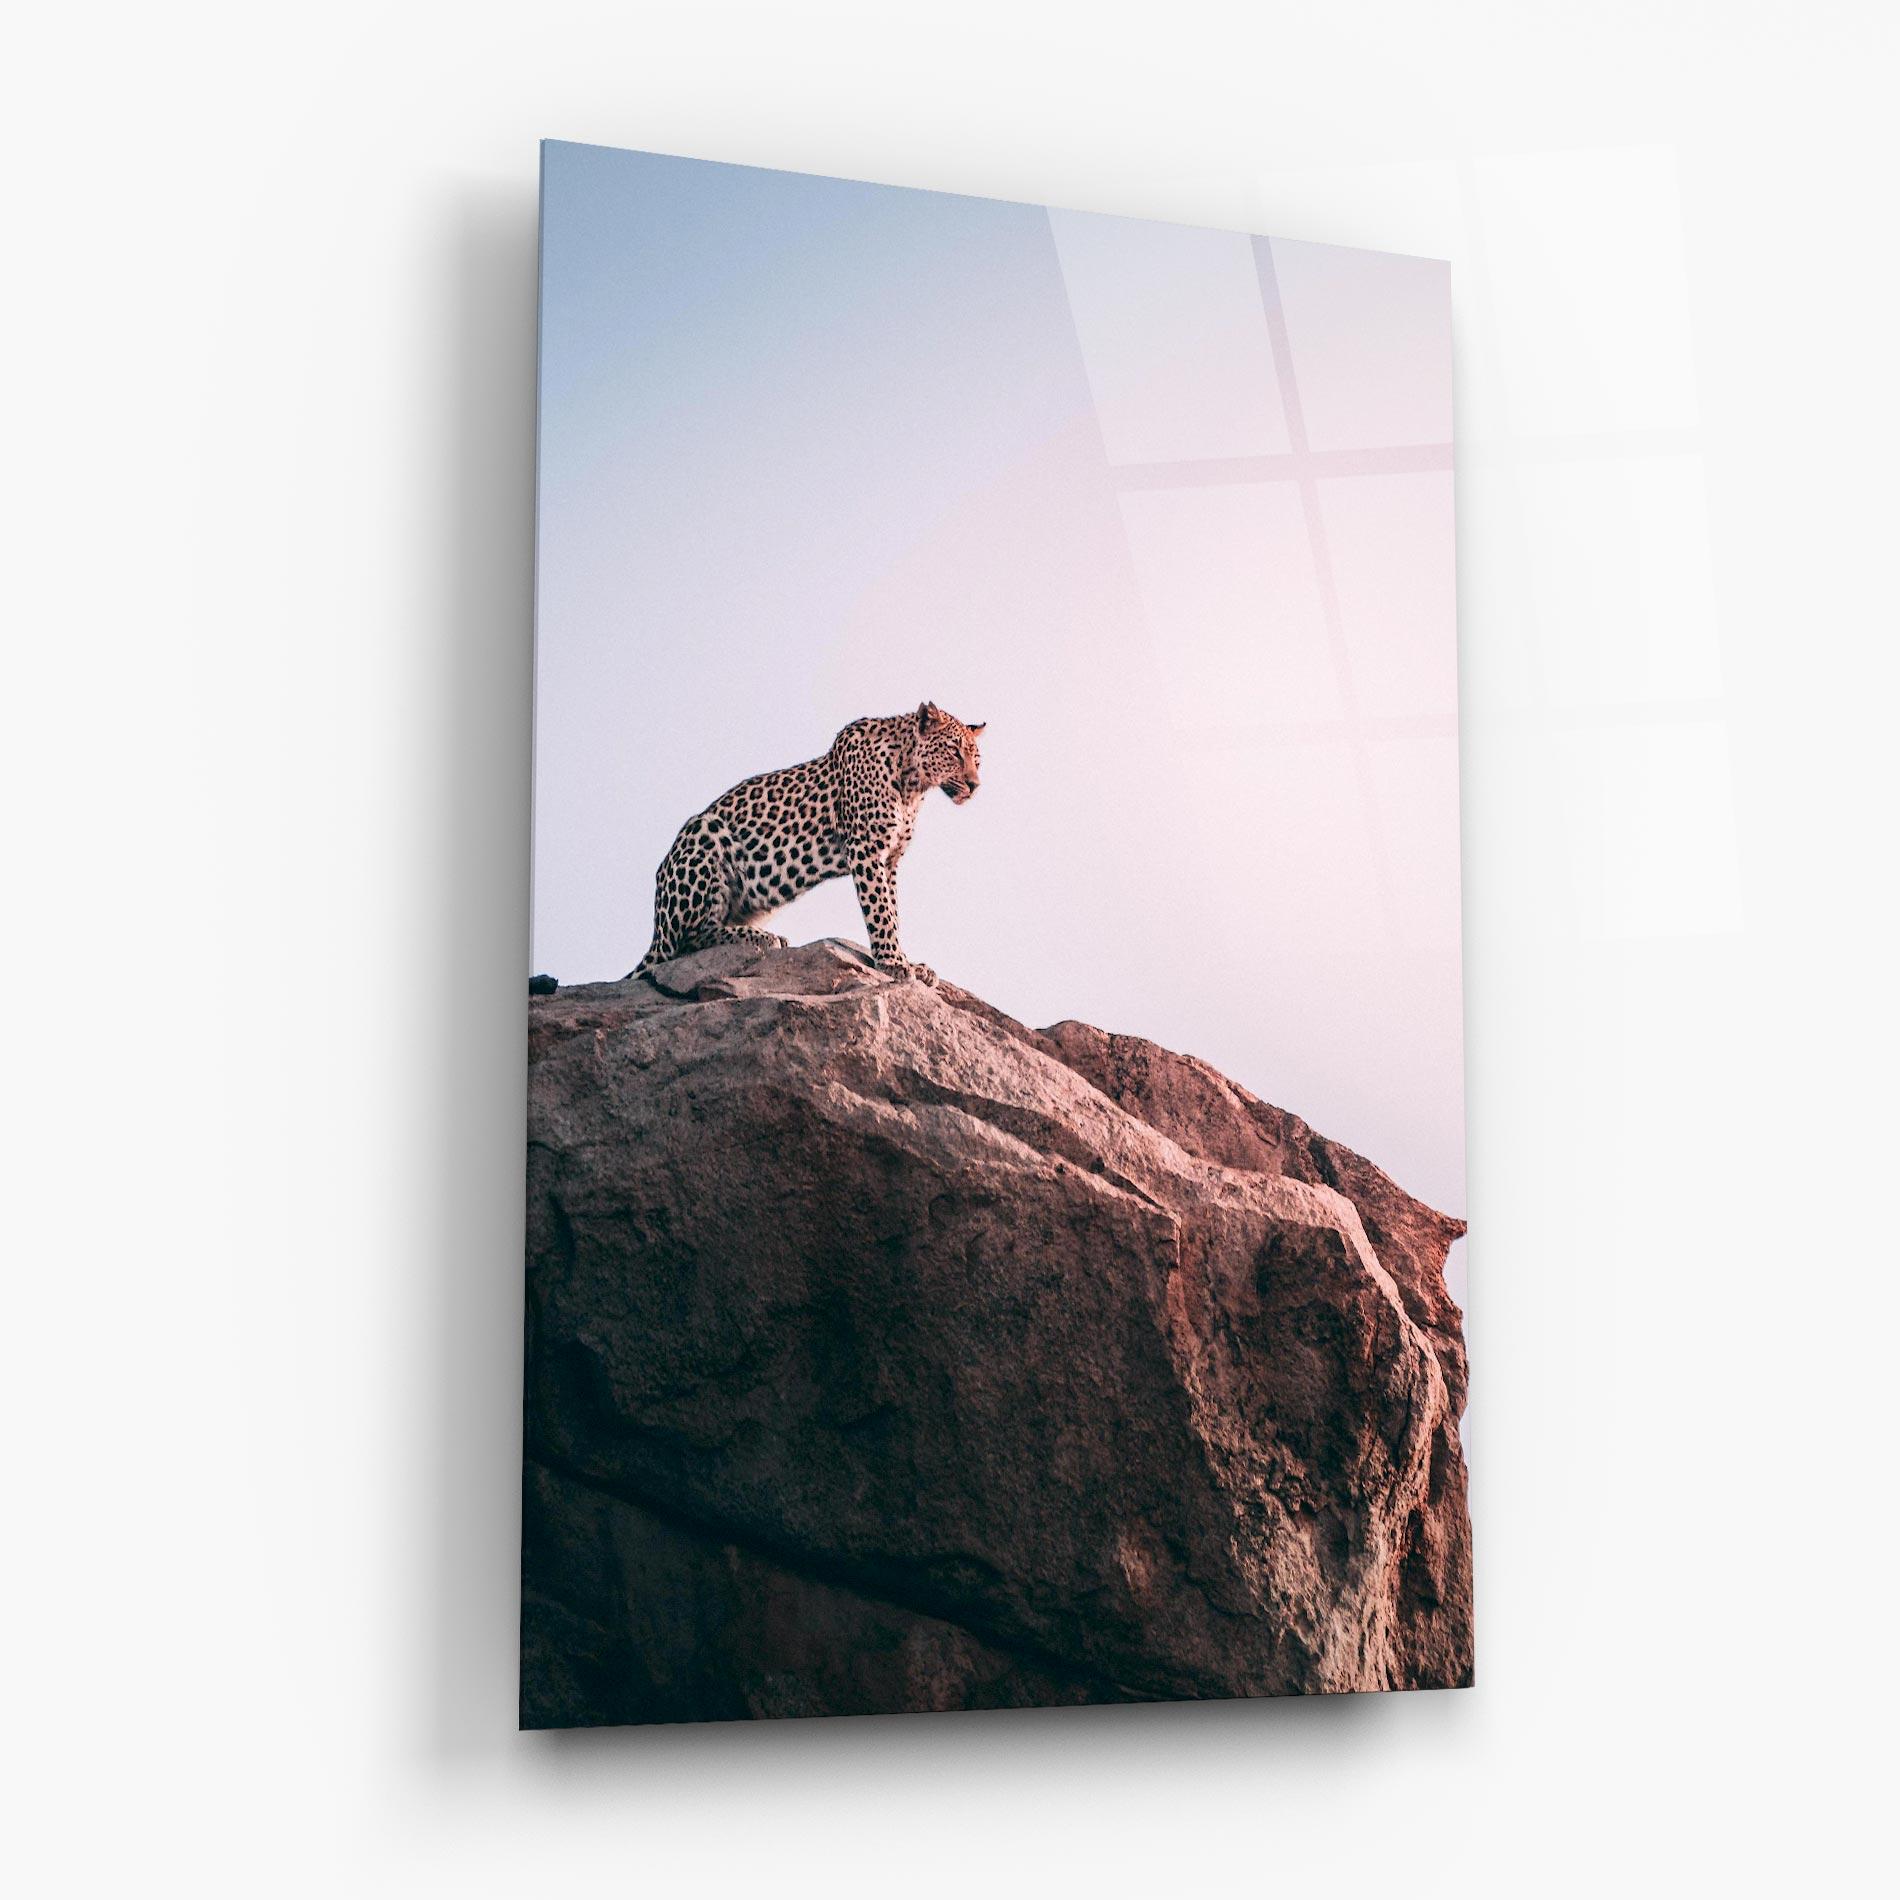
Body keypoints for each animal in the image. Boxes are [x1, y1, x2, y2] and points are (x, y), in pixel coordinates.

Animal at [627, 702, 984, 987]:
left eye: (977, 760)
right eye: (954, 752)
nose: (975, 785)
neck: (912, 785)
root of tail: (656, 929)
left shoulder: (890, 859)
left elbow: (893, 912)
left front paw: (908, 961)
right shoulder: (866, 849)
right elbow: (880, 910)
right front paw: (893, 963)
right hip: (704, 833)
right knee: (688, 940)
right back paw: (763, 938)